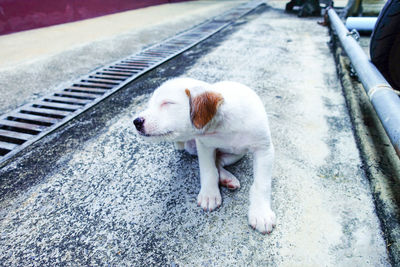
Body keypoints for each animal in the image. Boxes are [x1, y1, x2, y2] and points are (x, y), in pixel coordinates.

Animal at [133, 77, 276, 234]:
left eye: (168, 103)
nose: (136, 122)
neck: (223, 127)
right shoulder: (204, 146)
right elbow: (208, 171)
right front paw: (209, 195)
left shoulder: (264, 149)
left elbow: (262, 184)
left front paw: (261, 213)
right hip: (193, 147)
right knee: (216, 163)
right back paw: (226, 178)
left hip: (238, 153)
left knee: (220, 160)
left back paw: (227, 178)